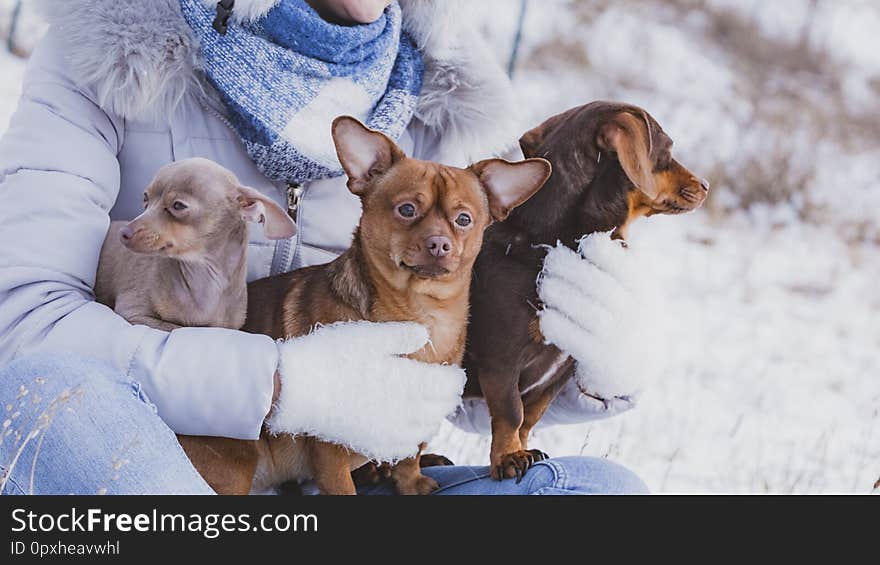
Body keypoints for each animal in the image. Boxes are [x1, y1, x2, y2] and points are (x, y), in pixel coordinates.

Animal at [190, 115, 552, 494]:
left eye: (464, 220)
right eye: (406, 210)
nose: (439, 244)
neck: (419, 314)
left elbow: (409, 454)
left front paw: (412, 482)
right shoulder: (329, 452)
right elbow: (343, 487)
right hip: (233, 465)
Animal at [468, 101, 708, 480]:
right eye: (668, 149)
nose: (707, 185)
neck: (546, 245)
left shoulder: (561, 369)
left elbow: (529, 417)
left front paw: (524, 449)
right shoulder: (500, 361)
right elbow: (510, 413)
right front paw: (508, 458)